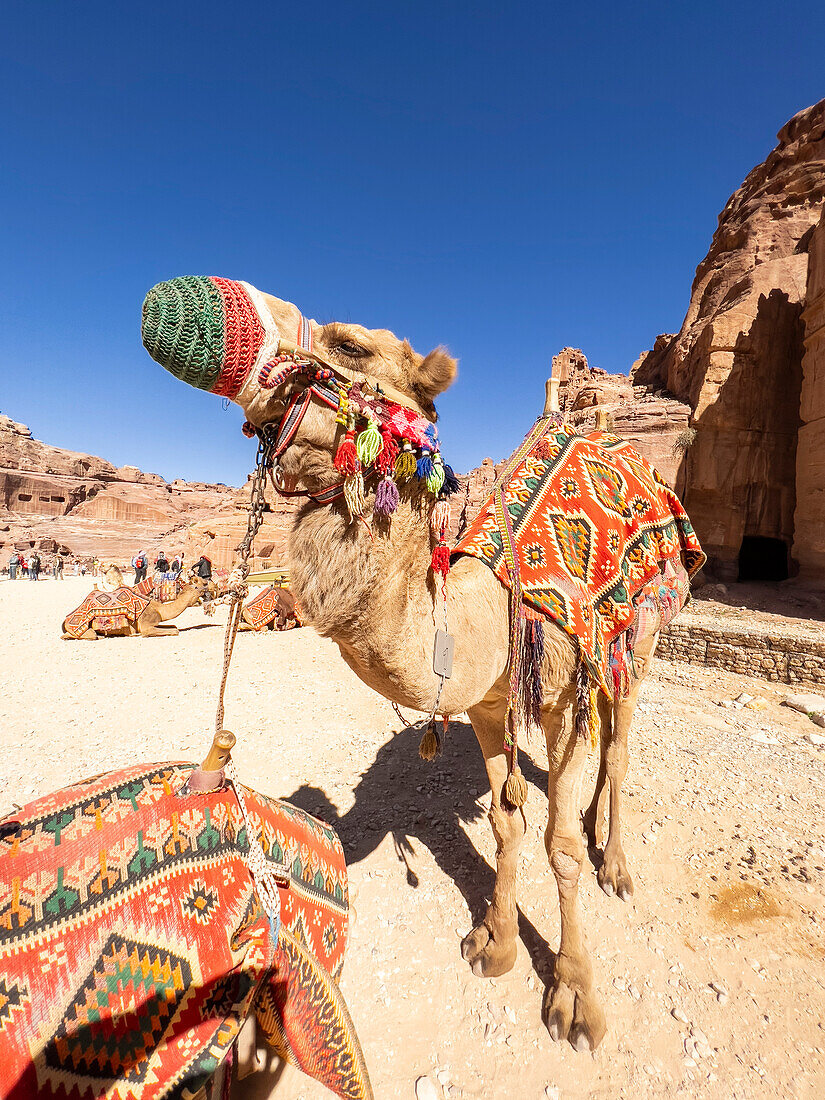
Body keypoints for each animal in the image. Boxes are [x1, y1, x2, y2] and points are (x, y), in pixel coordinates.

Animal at [63, 580, 214, 642]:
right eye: (197, 585)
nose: (208, 586)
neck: (159, 609)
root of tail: (64, 622)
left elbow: (174, 626)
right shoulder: (147, 625)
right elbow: (175, 631)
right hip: (81, 629)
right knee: (85, 635)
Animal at [140, 275, 704, 1047]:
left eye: (350, 344)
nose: (179, 306)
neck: (484, 601)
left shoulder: (558, 690)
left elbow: (556, 844)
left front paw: (573, 993)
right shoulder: (487, 703)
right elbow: (504, 823)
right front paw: (495, 942)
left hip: (639, 636)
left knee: (617, 745)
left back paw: (612, 859)